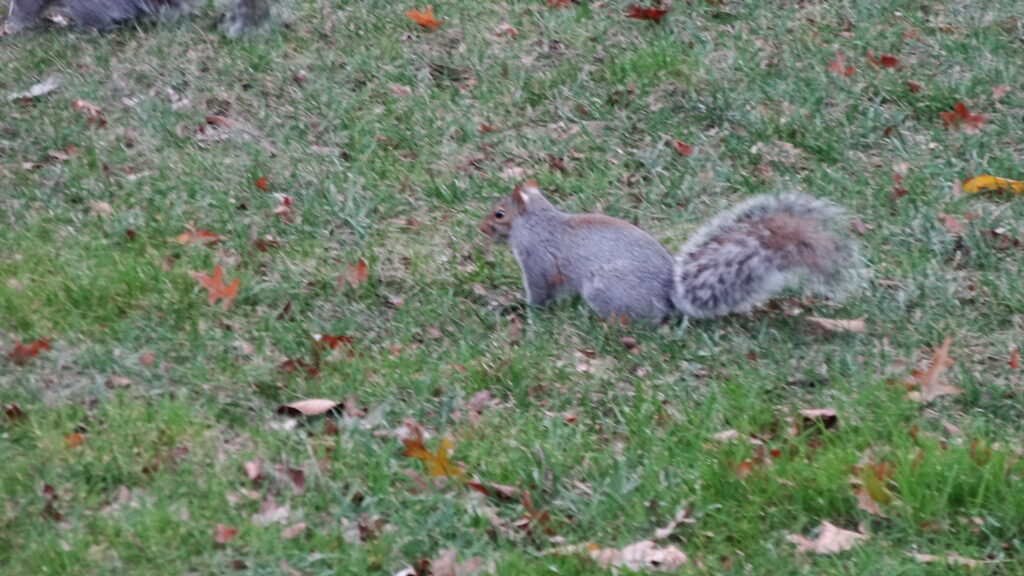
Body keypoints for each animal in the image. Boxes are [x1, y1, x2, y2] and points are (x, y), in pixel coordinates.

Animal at [479, 181, 856, 319]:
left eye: (499, 213)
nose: (480, 229)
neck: (536, 221)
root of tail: (670, 297)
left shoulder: (537, 260)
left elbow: (539, 291)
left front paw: (523, 310)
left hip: (605, 288)